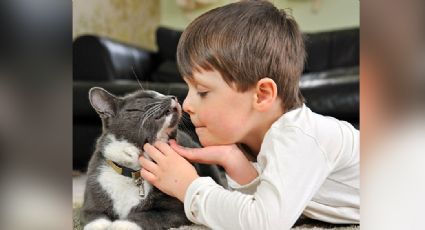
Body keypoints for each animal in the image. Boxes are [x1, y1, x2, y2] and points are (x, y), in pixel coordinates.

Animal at [80, 87, 224, 230]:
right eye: (146, 97)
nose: (173, 97)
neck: (133, 172)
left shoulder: (178, 211)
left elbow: (149, 215)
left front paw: (121, 224)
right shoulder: (91, 203)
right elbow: (95, 218)